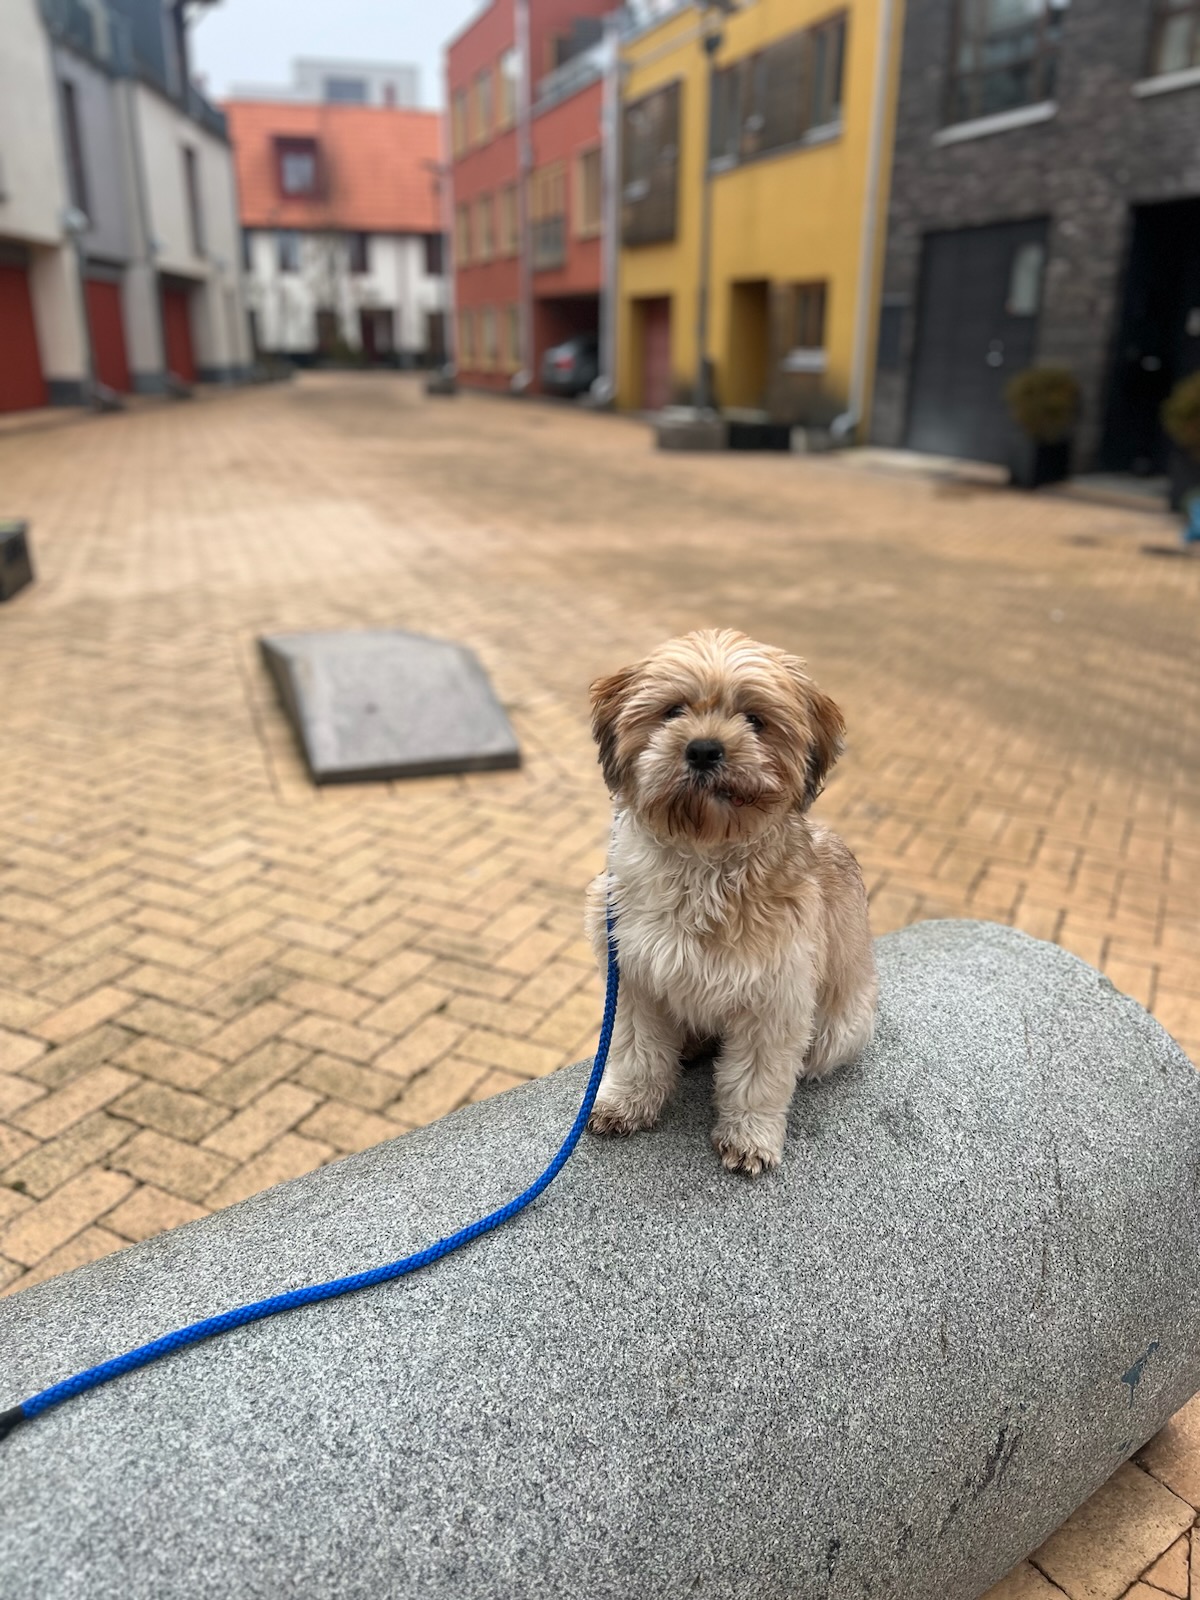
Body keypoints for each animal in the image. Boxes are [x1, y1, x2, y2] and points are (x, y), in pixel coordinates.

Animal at [584, 629, 877, 1176]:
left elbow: (756, 1080)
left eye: (755, 720)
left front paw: (749, 1137)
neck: (702, 865)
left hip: (839, 1029)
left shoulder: (776, 999)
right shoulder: (634, 978)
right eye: (674, 711)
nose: (703, 750)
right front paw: (626, 1103)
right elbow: (636, 1053)